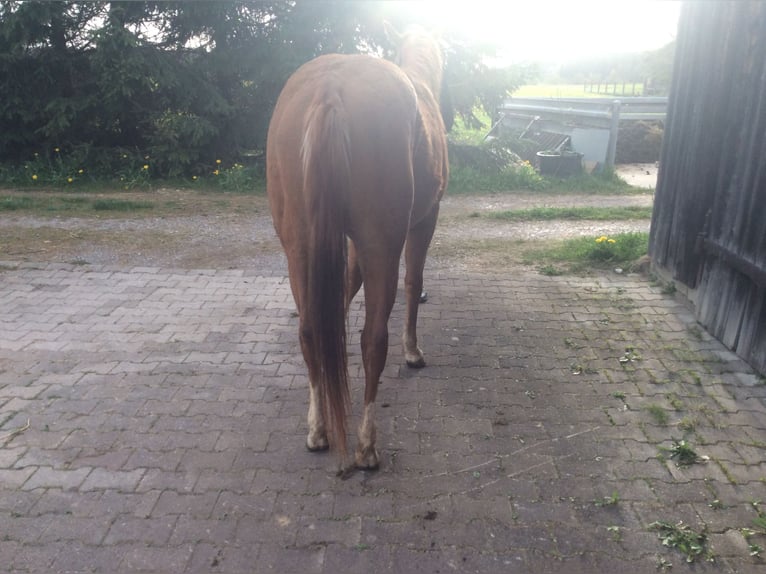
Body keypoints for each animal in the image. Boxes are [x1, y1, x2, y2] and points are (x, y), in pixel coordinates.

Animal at [268, 28, 450, 472]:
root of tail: (331, 86)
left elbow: (343, 291)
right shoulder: (424, 222)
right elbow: (414, 280)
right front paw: (413, 351)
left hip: (299, 246)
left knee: (310, 329)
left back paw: (317, 430)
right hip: (382, 242)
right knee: (372, 340)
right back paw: (367, 446)